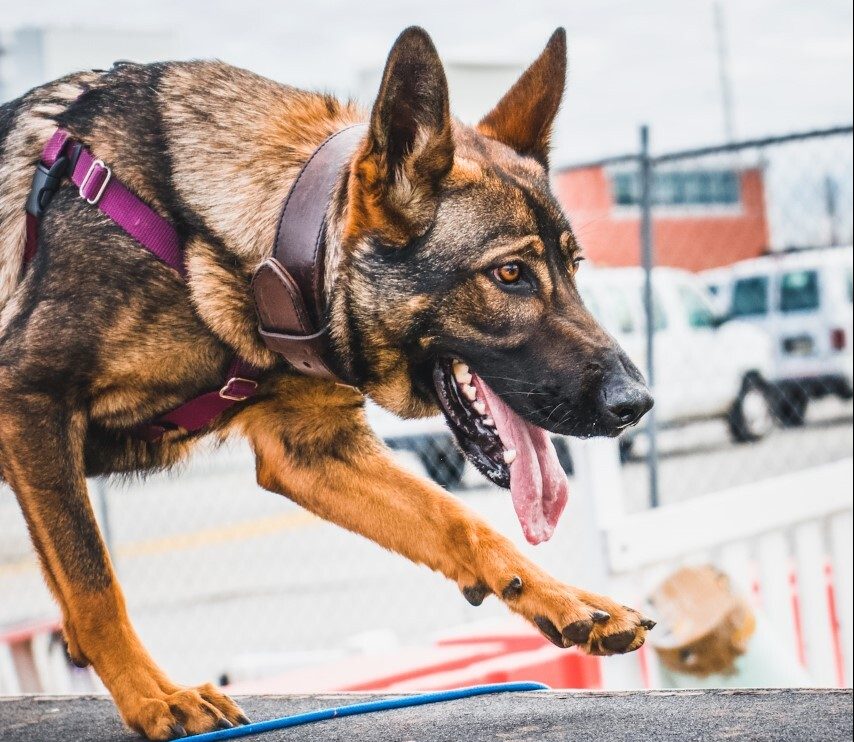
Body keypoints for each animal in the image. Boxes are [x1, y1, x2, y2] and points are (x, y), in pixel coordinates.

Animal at [1, 26, 656, 740]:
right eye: (509, 274)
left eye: (574, 267)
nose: (637, 404)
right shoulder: (30, 402)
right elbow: (95, 584)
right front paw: (153, 697)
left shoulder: (313, 450)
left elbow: (460, 522)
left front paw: (564, 599)